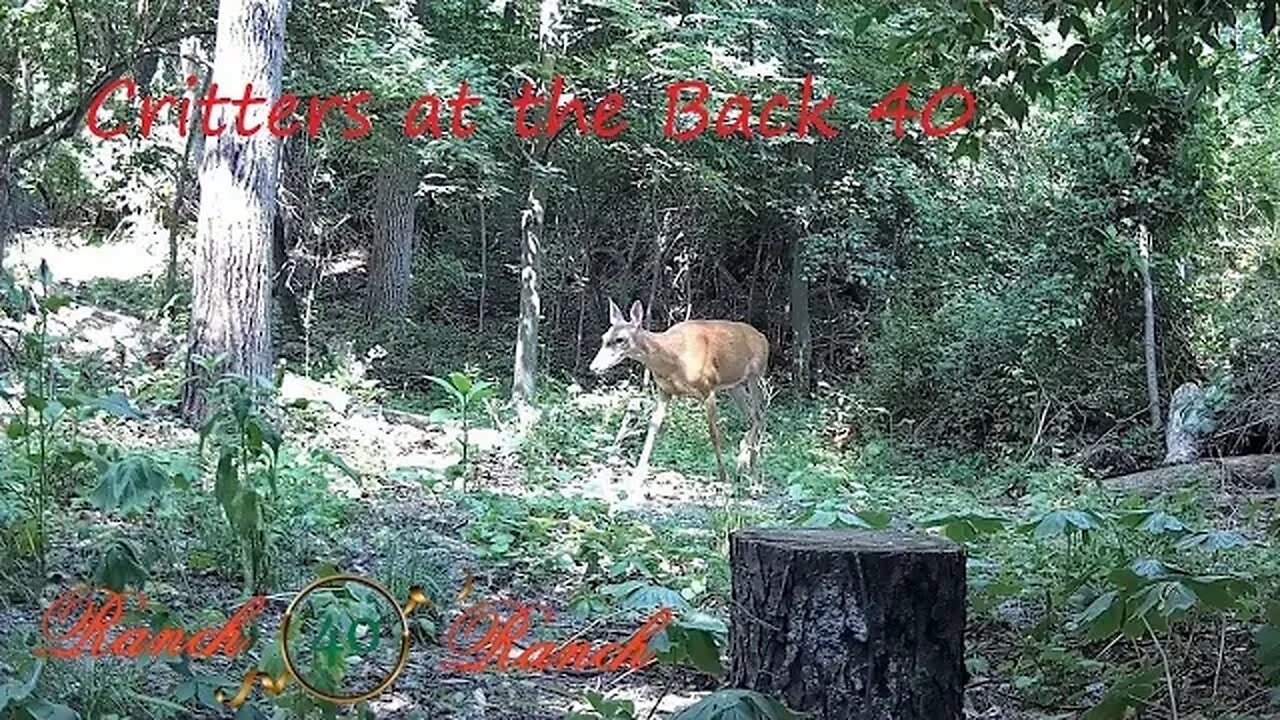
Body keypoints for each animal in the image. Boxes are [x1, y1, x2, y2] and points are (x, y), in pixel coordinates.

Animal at [588, 295, 768, 486]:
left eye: (620, 339)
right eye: (604, 337)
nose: (594, 367)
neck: (673, 358)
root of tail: (763, 337)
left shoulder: (708, 387)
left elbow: (713, 434)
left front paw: (723, 476)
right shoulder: (664, 391)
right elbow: (653, 426)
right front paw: (637, 475)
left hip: (756, 374)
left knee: (758, 415)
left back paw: (744, 464)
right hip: (734, 386)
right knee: (753, 417)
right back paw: (750, 464)